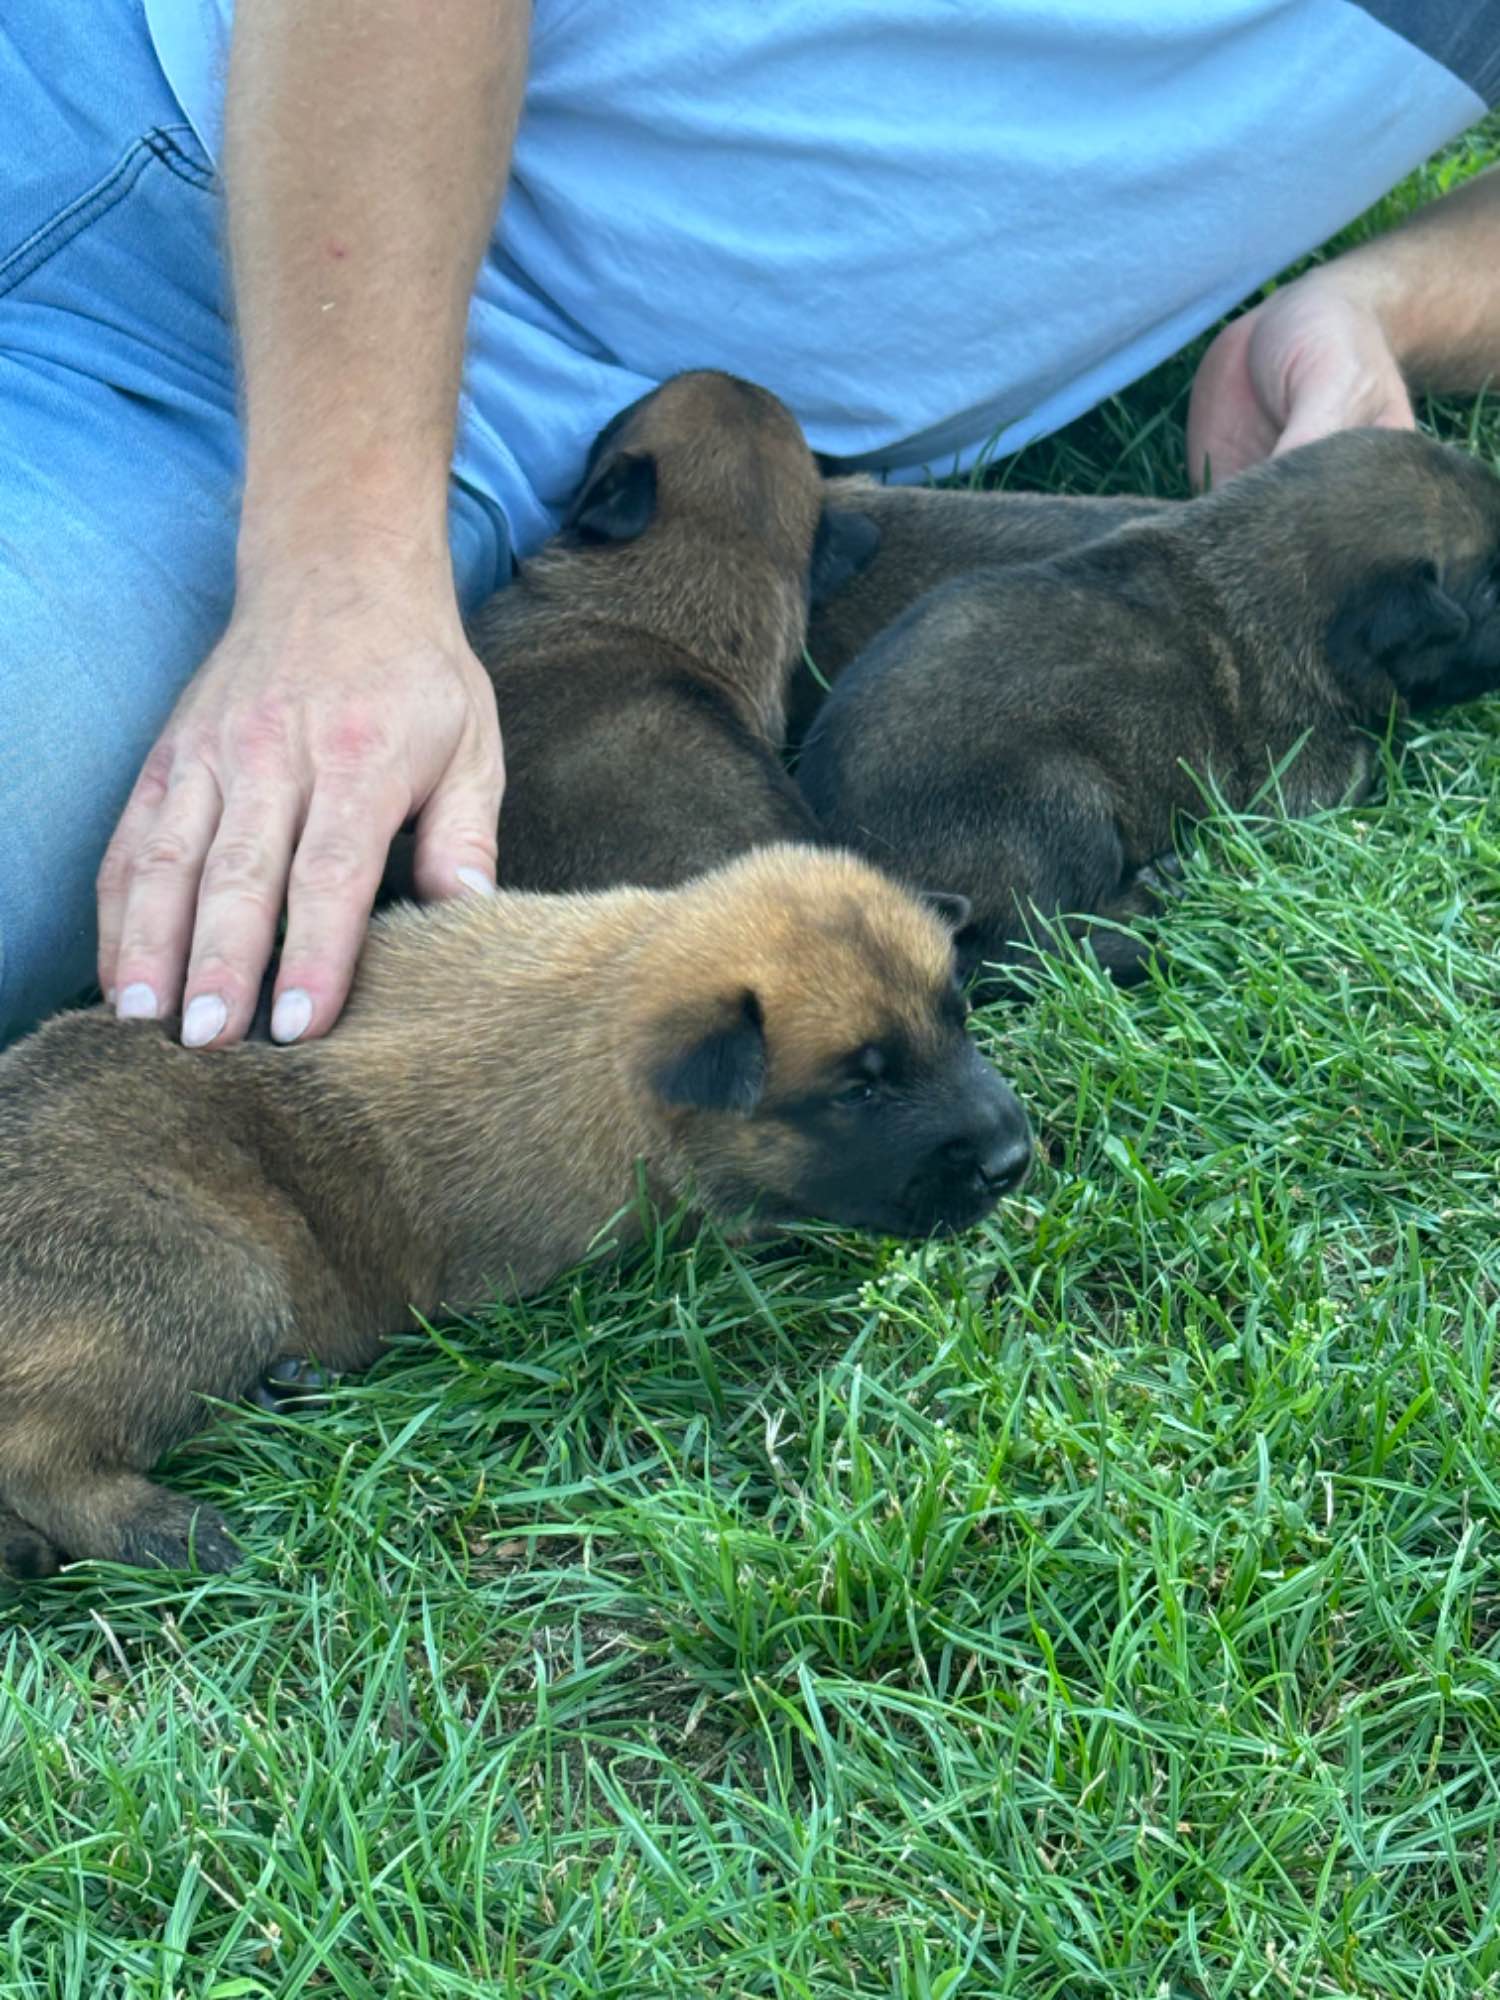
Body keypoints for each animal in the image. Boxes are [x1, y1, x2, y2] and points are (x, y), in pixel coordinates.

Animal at [0, 844, 1032, 1576]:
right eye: (860, 1090)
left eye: (959, 1020)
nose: (1016, 1158)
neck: (616, 1011)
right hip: (209, 1273)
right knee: (36, 1453)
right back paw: (165, 1530)